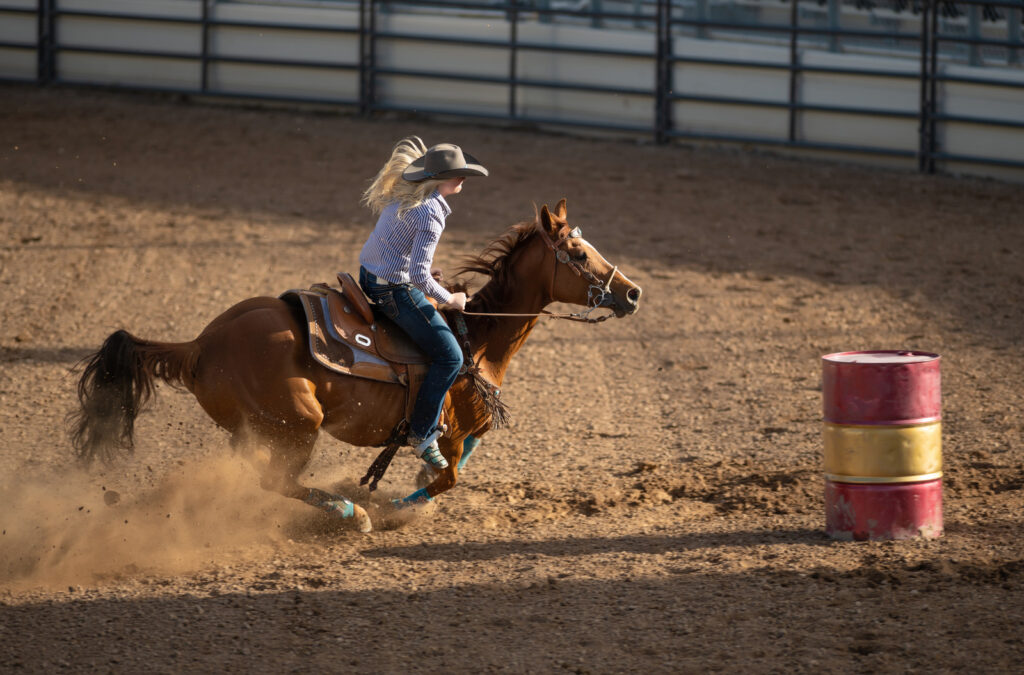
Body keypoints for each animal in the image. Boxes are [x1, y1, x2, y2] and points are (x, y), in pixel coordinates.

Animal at [70, 200, 638, 532]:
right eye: (578, 253)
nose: (632, 292)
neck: (476, 340)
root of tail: (199, 344)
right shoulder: (450, 427)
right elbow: (448, 476)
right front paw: (395, 506)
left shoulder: (469, 429)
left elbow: (455, 467)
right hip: (299, 424)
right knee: (276, 481)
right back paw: (354, 513)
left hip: (260, 429)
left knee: (251, 472)